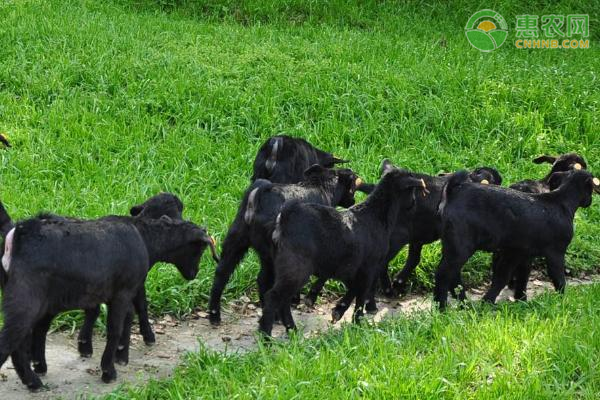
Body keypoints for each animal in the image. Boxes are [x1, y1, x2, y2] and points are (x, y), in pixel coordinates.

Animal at [0, 214, 216, 390]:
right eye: (200, 249)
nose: (194, 274)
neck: (145, 238)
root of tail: (18, 233)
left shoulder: (125, 293)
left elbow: (127, 318)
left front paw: (121, 355)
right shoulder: (122, 293)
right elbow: (114, 329)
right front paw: (108, 371)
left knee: (26, 337)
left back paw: (35, 374)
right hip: (26, 300)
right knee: (11, 340)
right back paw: (33, 381)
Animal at [209, 166, 358, 324]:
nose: (353, 201)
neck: (321, 188)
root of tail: (261, 193)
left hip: (236, 240)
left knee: (223, 273)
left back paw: (215, 315)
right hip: (272, 252)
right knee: (268, 281)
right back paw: (275, 316)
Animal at [260, 164, 428, 336]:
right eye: (412, 190)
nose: (414, 203)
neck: (374, 215)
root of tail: (284, 220)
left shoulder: (351, 267)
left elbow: (355, 288)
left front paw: (339, 311)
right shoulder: (369, 266)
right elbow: (361, 294)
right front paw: (357, 322)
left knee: (284, 299)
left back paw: (291, 329)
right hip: (296, 267)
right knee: (274, 296)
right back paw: (266, 335)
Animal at [434, 169, 596, 310]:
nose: (590, 201)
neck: (561, 201)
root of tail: (455, 191)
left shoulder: (517, 253)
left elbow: (509, 277)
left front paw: (514, 300)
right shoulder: (555, 253)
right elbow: (558, 278)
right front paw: (563, 300)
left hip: (452, 245)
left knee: (453, 275)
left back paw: (462, 304)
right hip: (461, 245)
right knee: (444, 273)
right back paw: (442, 307)